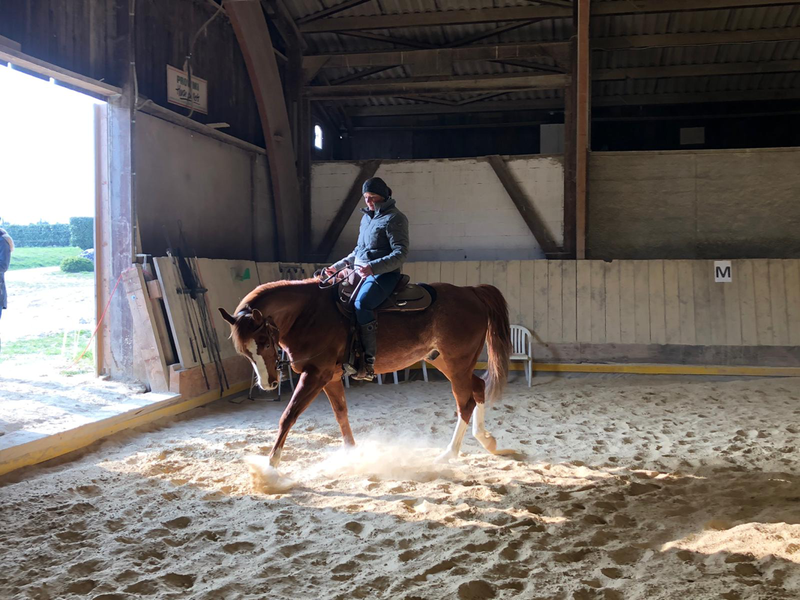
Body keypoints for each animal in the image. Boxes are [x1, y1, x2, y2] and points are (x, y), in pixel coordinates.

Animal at [218, 275, 512, 484]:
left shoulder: (315, 375)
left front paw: (269, 468)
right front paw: (351, 455)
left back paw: (448, 454)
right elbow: (341, 414)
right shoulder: (330, 378)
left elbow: (288, 416)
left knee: (465, 403)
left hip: (456, 363)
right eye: (245, 351)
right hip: (444, 362)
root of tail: (471, 291)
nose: (268, 384)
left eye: (265, 342)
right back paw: (486, 440)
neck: (308, 315)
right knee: (478, 388)